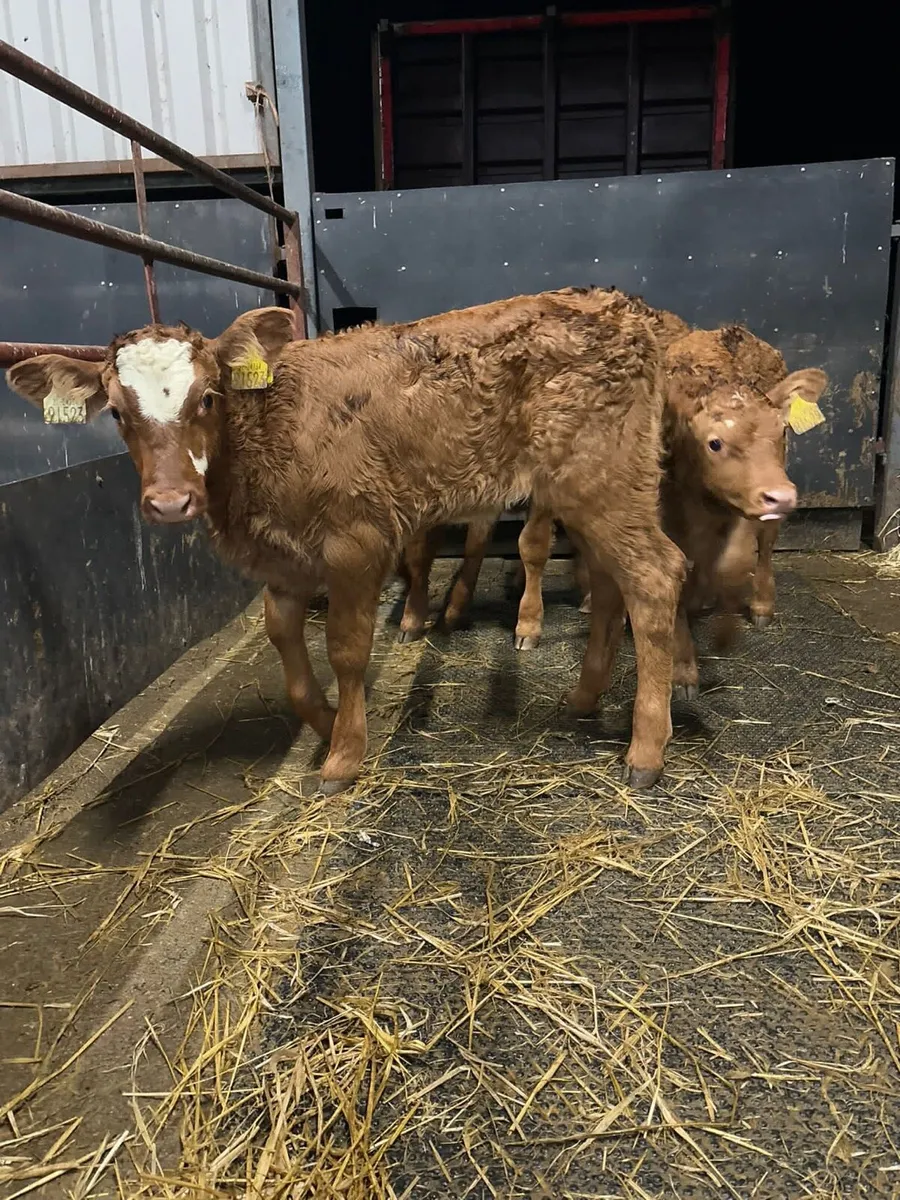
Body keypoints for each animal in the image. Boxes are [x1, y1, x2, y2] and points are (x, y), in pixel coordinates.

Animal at [7, 289, 687, 792]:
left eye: (208, 398)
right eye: (118, 413)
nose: (171, 501)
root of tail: (625, 310)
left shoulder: (356, 541)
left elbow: (346, 649)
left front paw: (343, 755)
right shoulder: (282, 562)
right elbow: (286, 644)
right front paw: (326, 721)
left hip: (602, 478)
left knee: (656, 576)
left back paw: (646, 748)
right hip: (592, 492)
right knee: (612, 585)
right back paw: (585, 696)